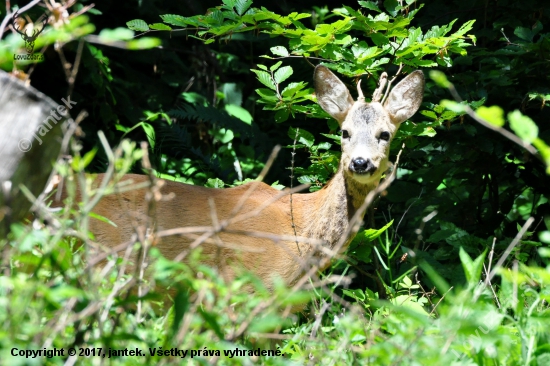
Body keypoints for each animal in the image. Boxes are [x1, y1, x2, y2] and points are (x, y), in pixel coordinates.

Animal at [56, 63, 424, 292]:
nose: (360, 163)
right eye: (344, 132)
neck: (302, 232)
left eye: (385, 134)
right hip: (103, 255)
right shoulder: (243, 281)